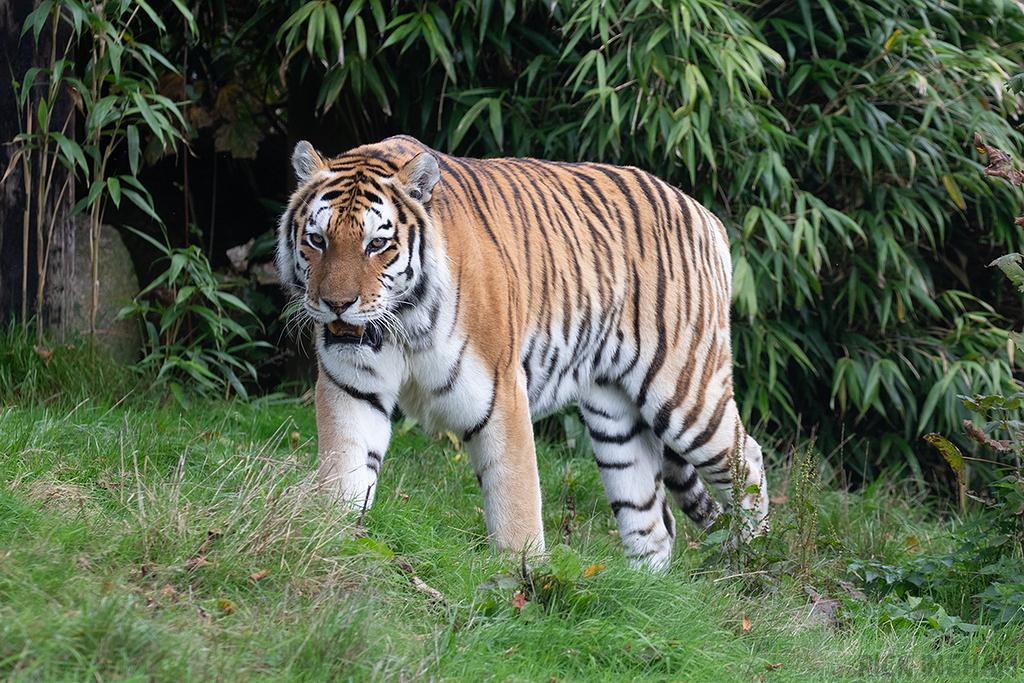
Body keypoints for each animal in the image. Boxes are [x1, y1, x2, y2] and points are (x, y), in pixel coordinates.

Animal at [276, 135, 768, 571]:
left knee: (749, 459)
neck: (403, 324)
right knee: (652, 520)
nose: (337, 304)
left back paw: (751, 565)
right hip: (615, 418)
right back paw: (645, 594)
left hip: (685, 394)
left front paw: (523, 584)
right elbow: (345, 475)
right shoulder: (352, 390)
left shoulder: (500, 396)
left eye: (377, 243)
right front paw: (333, 546)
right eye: (317, 240)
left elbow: (517, 504)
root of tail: (708, 216)